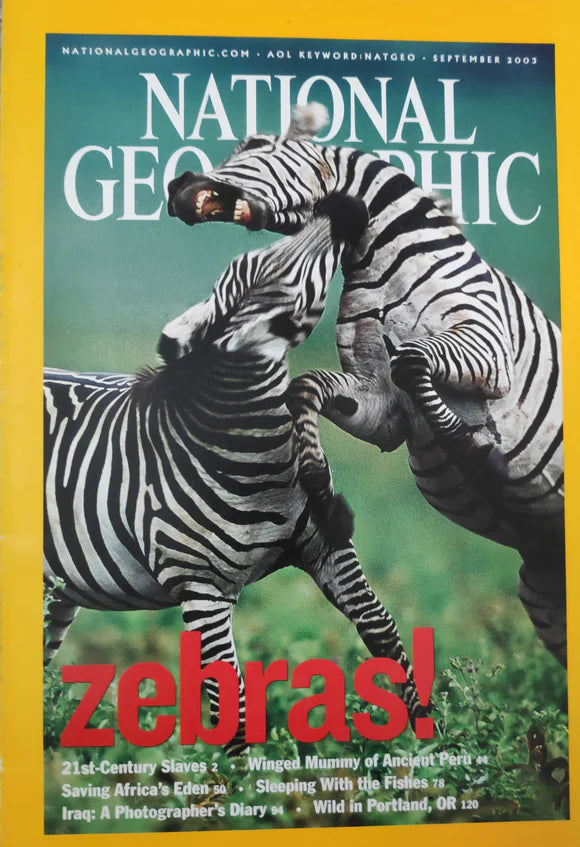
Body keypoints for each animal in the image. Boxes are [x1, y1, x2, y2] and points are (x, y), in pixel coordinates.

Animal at [44, 194, 424, 755]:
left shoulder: (328, 547)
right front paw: (239, 778)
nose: (343, 204)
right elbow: (231, 702)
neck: (256, 456)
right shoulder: (200, 588)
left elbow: (382, 628)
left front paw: (425, 736)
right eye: (284, 283)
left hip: (54, 592)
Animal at [166, 103, 566, 667]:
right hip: (545, 592)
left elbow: (413, 363)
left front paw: (471, 450)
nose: (178, 185)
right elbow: (306, 388)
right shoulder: (382, 407)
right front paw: (319, 487)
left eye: (257, 145)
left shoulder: (487, 346)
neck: (384, 263)